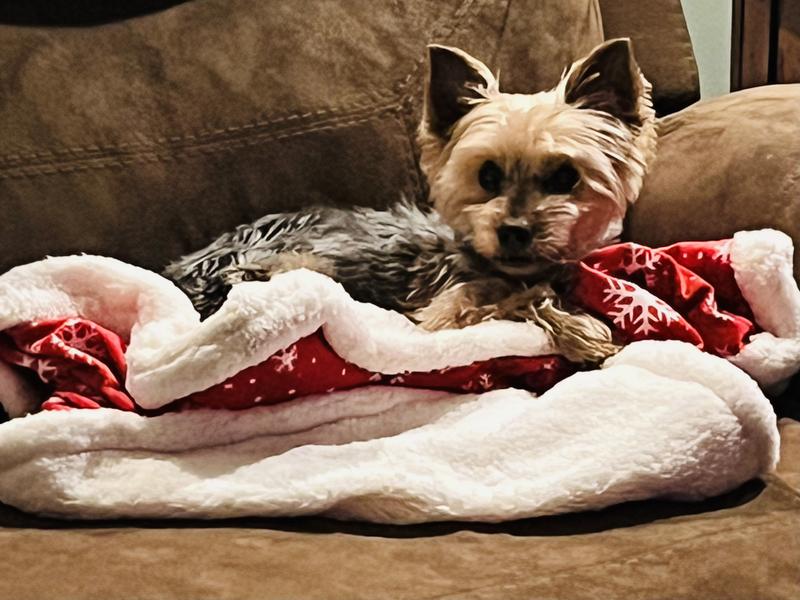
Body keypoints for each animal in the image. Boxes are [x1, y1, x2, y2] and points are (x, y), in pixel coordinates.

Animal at [164, 39, 656, 364]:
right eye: (488, 175)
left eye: (565, 177)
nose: (514, 231)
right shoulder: (446, 314)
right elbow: (520, 298)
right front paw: (582, 328)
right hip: (295, 267)